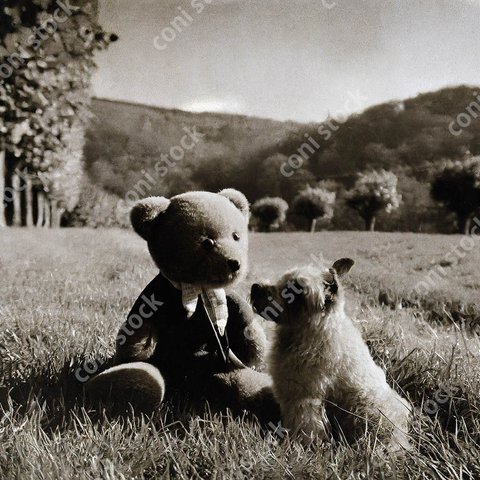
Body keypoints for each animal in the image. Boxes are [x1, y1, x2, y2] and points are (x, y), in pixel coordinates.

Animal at [249, 258, 410, 450]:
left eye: (295, 290)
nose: (255, 287)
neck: (309, 332)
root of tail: (402, 438)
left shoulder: (305, 399)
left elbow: (304, 427)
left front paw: (296, 447)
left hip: (366, 409)